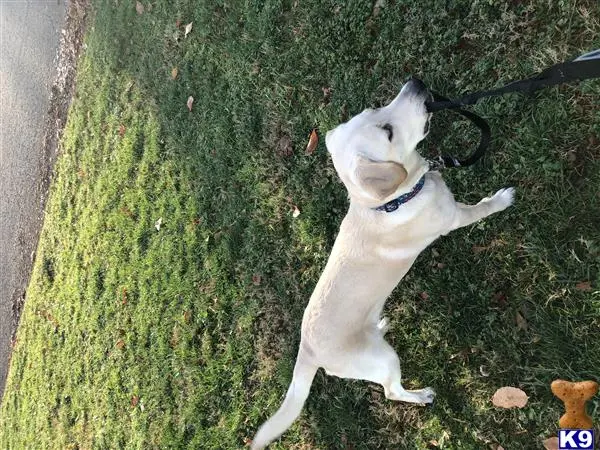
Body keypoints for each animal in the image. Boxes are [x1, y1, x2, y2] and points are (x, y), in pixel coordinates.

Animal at [251, 79, 512, 448]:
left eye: (374, 108)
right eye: (387, 131)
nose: (415, 82)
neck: (389, 201)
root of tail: (308, 352)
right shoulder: (453, 218)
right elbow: (481, 208)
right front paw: (502, 200)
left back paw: (382, 325)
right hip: (384, 361)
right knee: (391, 391)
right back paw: (421, 395)